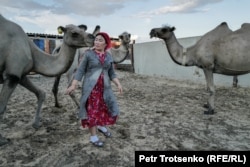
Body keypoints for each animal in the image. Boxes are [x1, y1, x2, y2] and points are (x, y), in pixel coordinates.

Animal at [0, 14, 95, 145]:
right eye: (74, 33)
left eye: (83, 29)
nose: (92, 37)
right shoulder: (12, 74)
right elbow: (1, 107)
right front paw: (2, 139)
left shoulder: (20, 74)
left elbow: (41, 93)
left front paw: (35, 124)